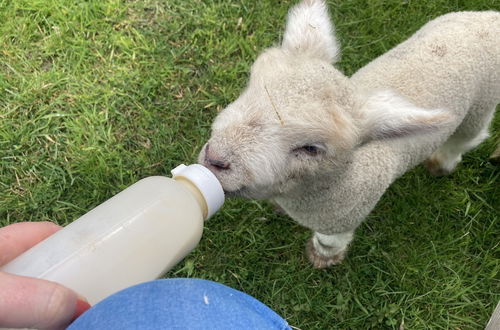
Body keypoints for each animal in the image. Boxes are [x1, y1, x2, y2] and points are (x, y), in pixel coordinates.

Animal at [197, 0, 498, 268]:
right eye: (249, 89)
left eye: (311, 148)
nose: (215, 158)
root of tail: (489, 19)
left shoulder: (343, 217)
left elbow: (329, 242)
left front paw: (322, 258)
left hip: (480, 105)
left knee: (467, 138)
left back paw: (441, 164)